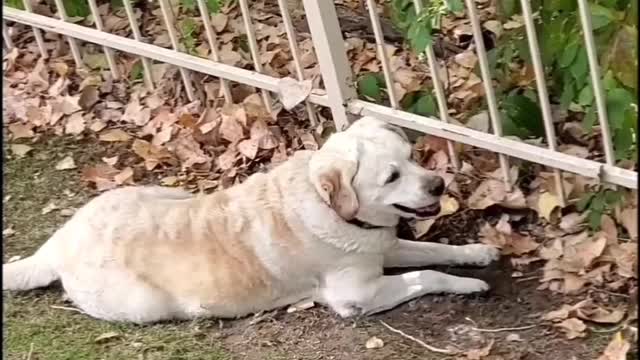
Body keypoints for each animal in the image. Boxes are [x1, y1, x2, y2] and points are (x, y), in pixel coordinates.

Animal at [2, 117, 498, 324]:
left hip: (161, 190)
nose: (438, 184)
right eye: (392, 176)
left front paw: (477, 252)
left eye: (412, 156)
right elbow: (426, 273)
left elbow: (434, 249)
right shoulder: (355, 295)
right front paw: (469, 285)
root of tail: (59, 242)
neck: (327, 206)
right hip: (142, 304)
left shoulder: (384, 244)